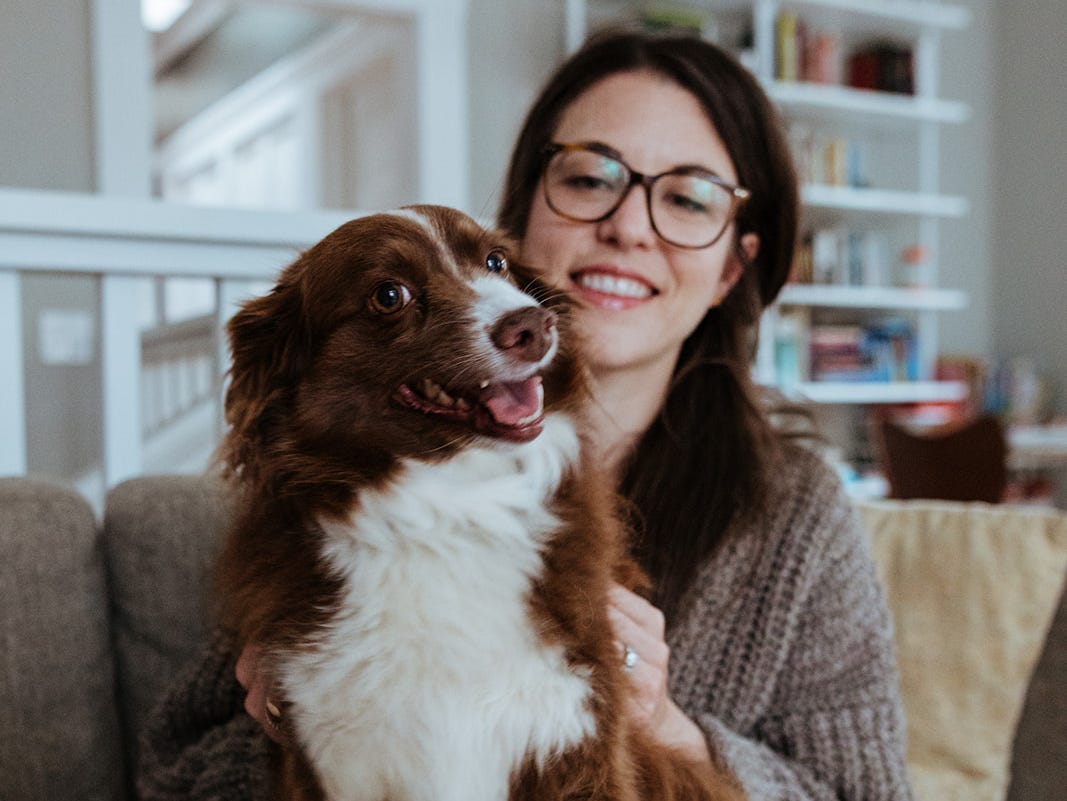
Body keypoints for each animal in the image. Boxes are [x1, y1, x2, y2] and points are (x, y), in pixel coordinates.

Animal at [216, 201, 742, 801]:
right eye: (389, 295)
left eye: (496, 262)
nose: (533, 325)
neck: (451, 508)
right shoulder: (326, 749)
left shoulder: (578, 733)